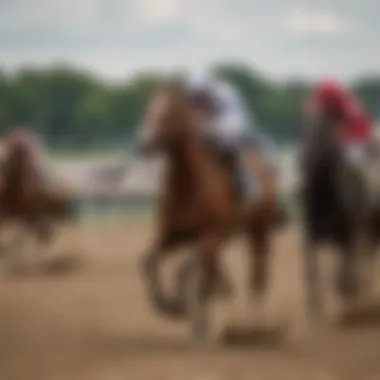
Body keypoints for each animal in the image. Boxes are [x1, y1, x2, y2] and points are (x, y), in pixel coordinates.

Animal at [134, 81, 288, 342]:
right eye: (148, 108)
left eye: (168, 112)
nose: (143, 143)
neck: (188, 185)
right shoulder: (171, 234)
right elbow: (148, 262)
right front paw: (167, 305)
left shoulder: (210, 234)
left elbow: (185, 270)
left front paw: (180, 307)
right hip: (230, 233)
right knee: (213, 271)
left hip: (258, 229)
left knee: (257, 275)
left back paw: (253, 326)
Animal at [302, 109, 380, 320]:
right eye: (306, 130)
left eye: (325, 131)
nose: (308, 160)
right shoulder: (310, 236)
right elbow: (312, 272)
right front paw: (314, 311)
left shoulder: (348, 233)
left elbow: (343, 271)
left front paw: (349, 290)